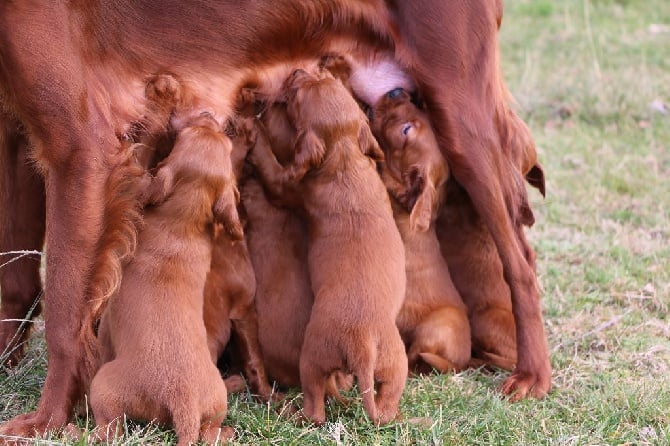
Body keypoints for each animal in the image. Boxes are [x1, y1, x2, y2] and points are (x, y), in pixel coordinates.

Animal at [90, 112, 243, 446]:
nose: (208, 114)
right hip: (214, 404)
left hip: (103, 387)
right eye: (225, 143)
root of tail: (183, 399)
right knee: (211, 431)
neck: (182, 222)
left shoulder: (108, 324)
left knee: (110, 428)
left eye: (186, 133)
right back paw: (228, 427)